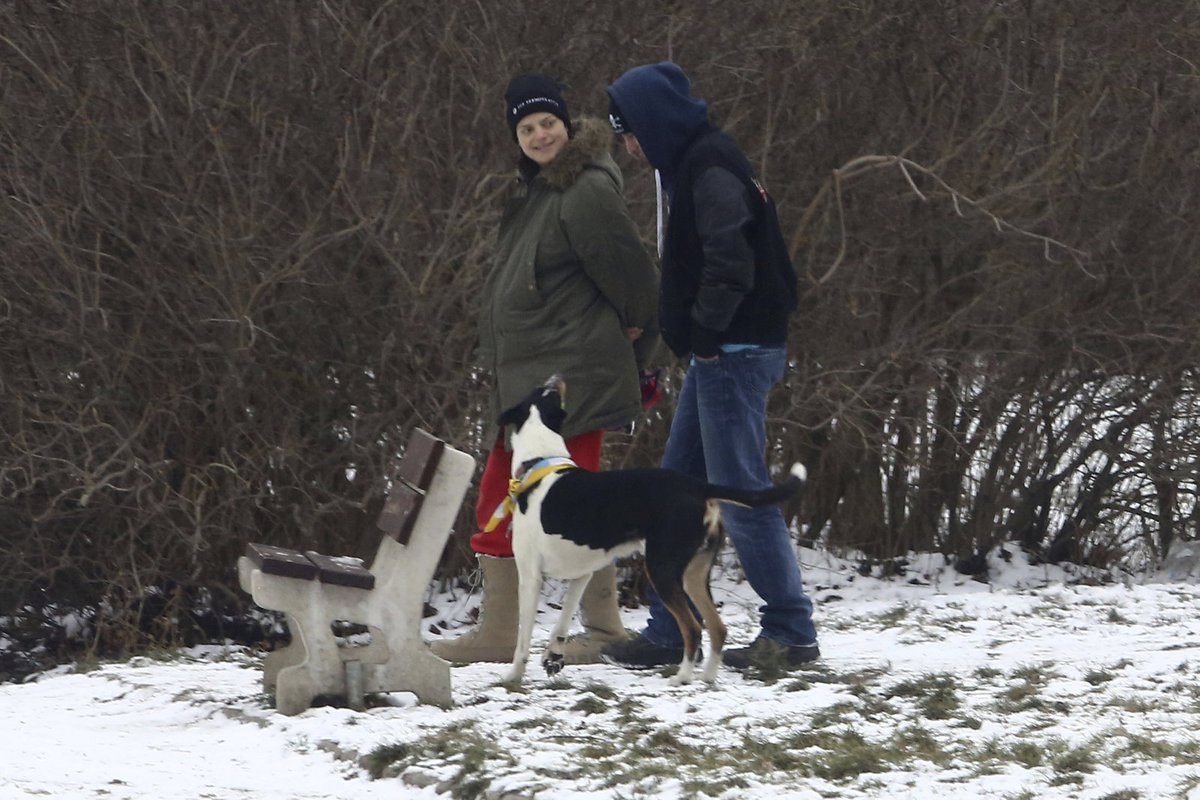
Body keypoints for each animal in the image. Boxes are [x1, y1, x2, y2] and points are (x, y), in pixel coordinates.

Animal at [496, 379, 806, 686]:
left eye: (548, 391)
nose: (556, 378)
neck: (540, 462)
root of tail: (698, 487)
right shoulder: (580, 575)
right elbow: (561, 624)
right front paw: (553, 658)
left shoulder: (530, 577)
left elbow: (523, 639)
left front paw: (513, 675)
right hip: (694, 574)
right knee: (717, 628)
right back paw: (707, 678)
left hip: (662, 570)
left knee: (693, 628)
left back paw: (682, 677)